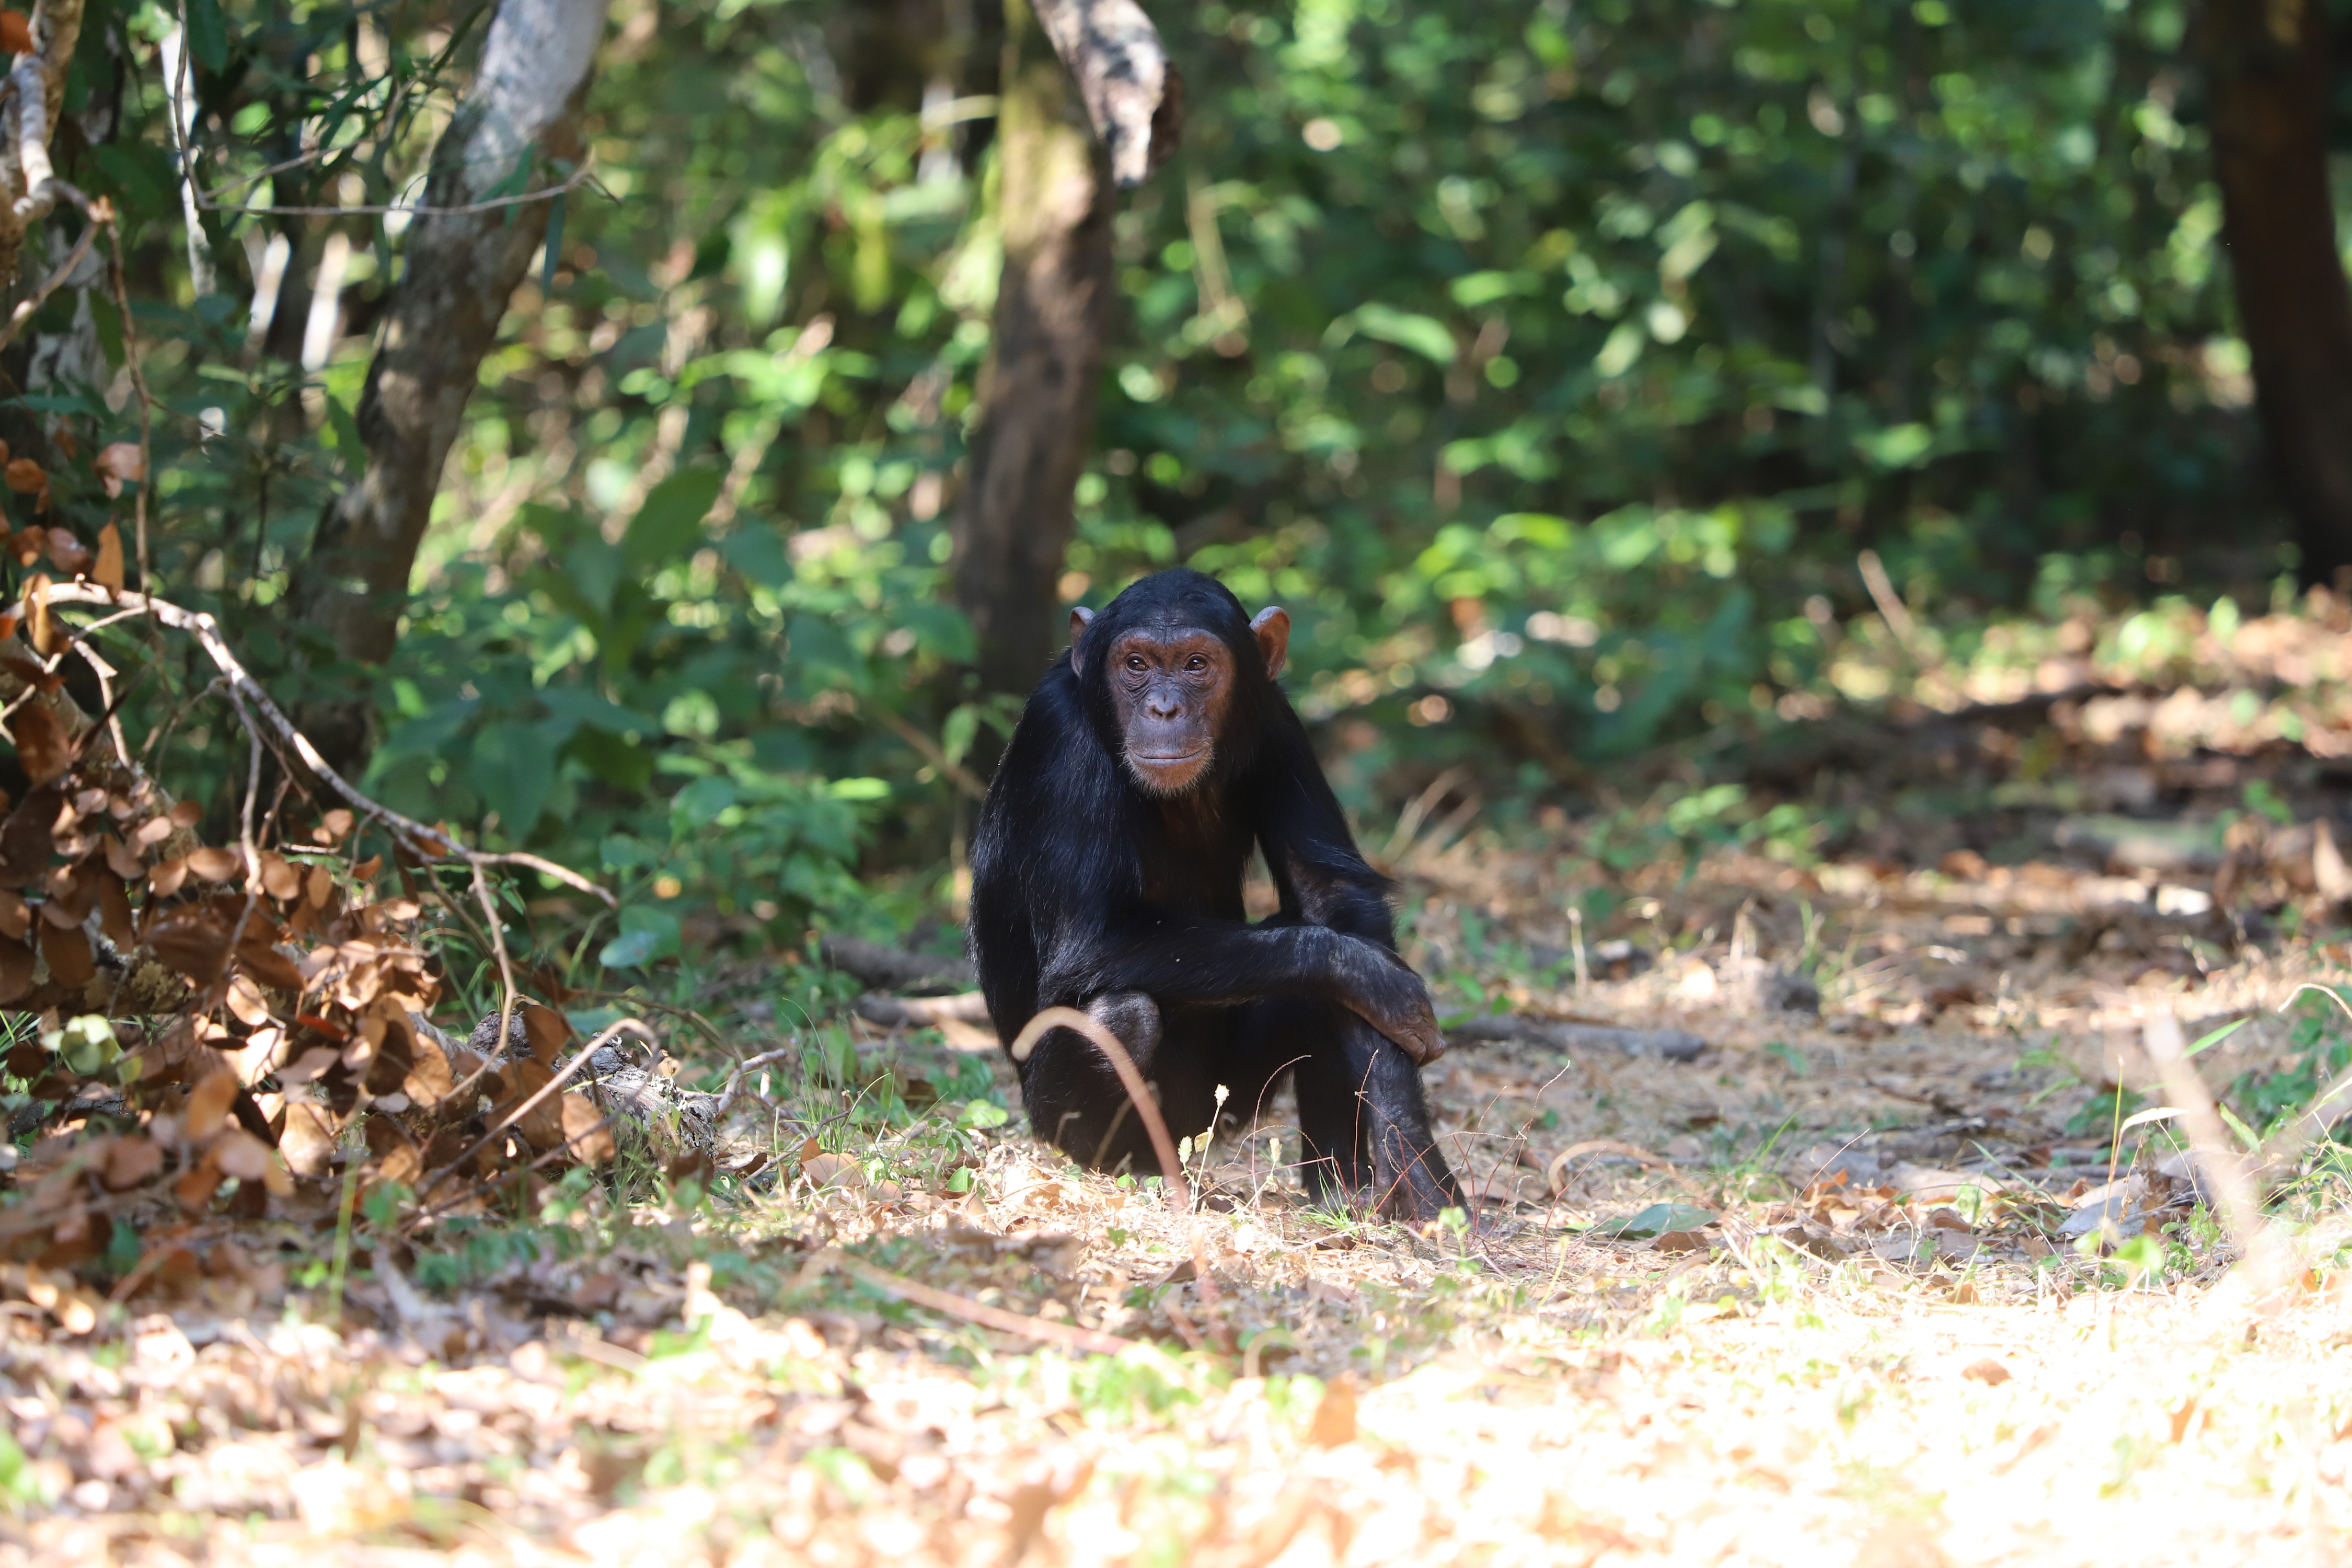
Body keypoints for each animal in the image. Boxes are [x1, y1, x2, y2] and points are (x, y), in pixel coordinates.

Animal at [964, 571, 1458, 1222]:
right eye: (1137, 664)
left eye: (1197, 664)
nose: (1164, 707)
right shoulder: (1059, 734)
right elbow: (1089, 940)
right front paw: (1364, 972)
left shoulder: (1279, 718)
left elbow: (1332, 896)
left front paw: (1417, 1162)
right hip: (1072, 1119)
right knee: (1122, 1016)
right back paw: (1133, 1169)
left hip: (1226, 1105)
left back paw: (1339, 1191)